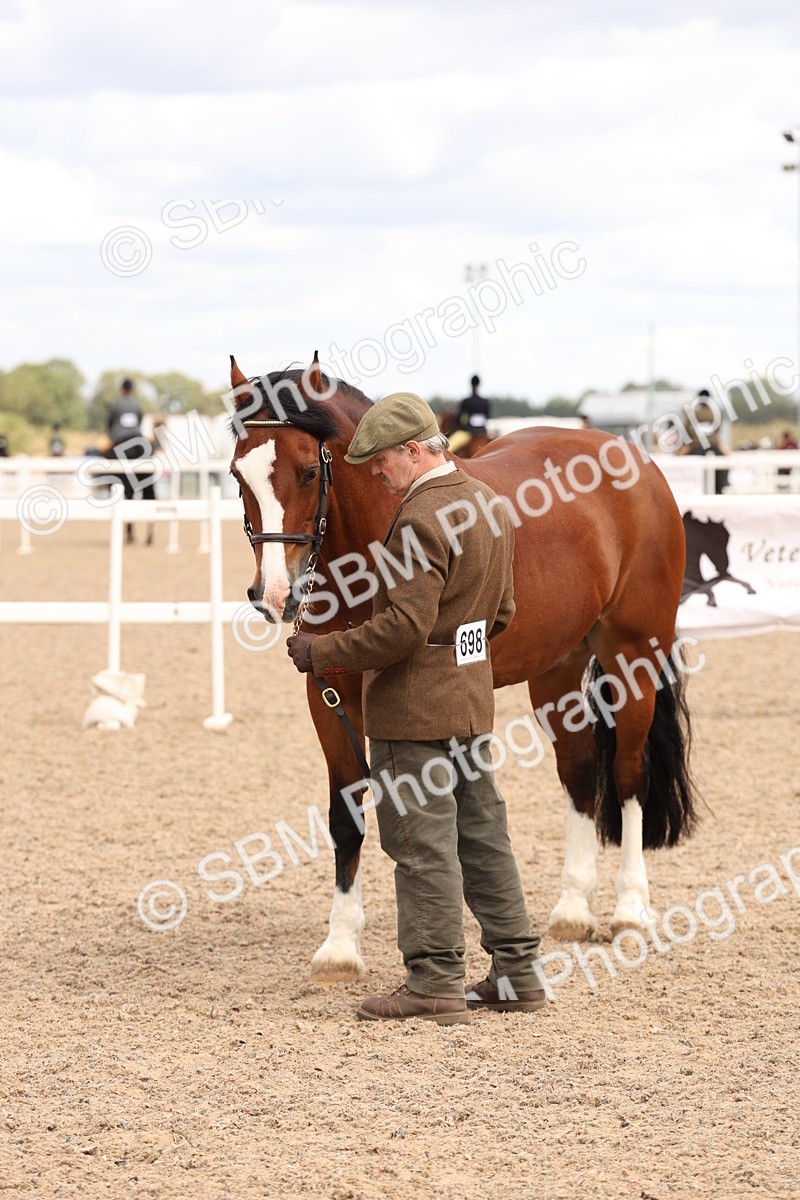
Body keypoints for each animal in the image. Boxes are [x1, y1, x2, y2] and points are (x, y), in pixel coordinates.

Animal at [229, 353, 697, 984]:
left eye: (307, 472)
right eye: (238, 476)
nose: (275, 595)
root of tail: (637, 463)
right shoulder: (331, 696)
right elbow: (346, 814)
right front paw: (340, 947)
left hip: (634, 657)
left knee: (626, 776)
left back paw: (629, 911)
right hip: (560, 668)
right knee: (578, 772)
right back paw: (573, 909)